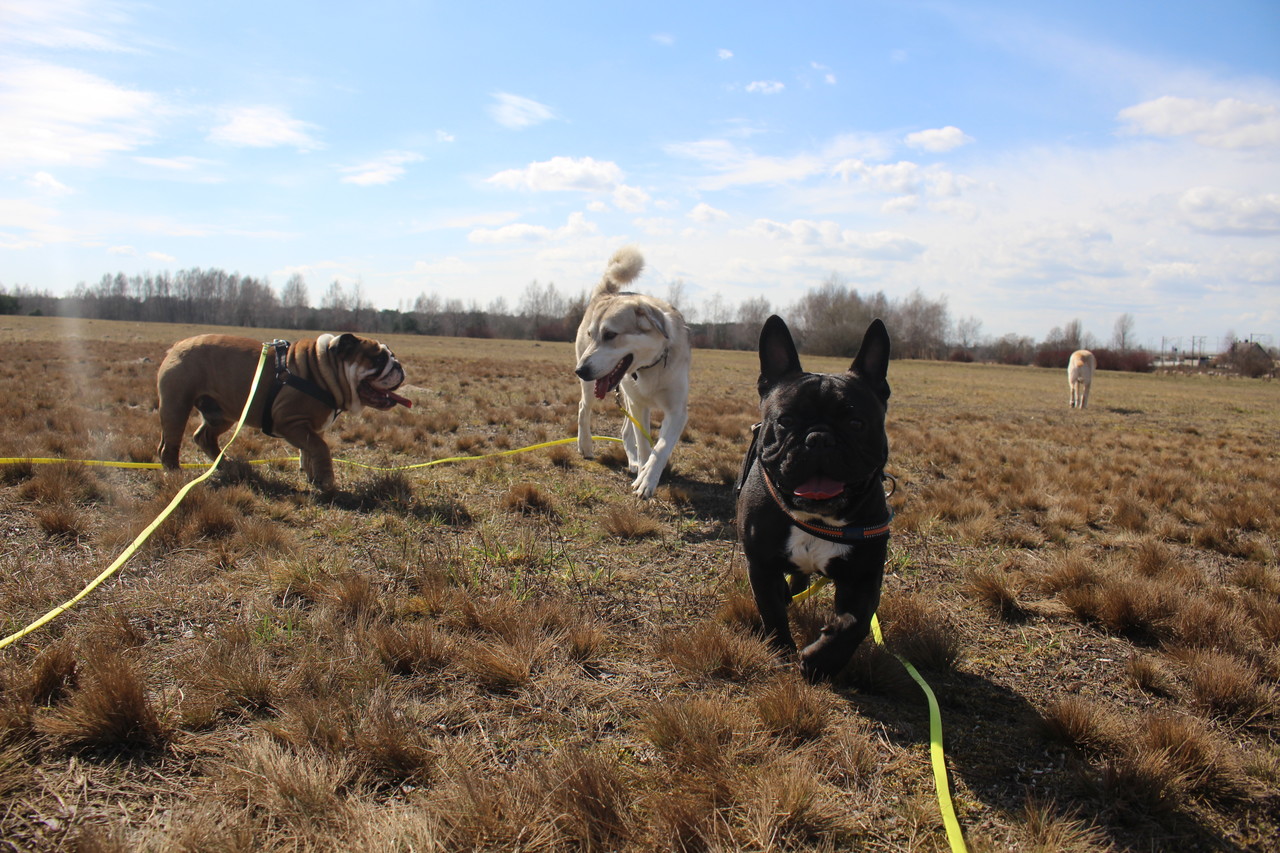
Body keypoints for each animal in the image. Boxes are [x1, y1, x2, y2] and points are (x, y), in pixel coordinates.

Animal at [157, 333, 409, 491]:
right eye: (379, 359)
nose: (398, 366)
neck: (323, 370)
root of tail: (178, 344)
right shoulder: (289, 421)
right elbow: (320, 447)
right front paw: (326, 481)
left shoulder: (310, 428)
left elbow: (309, 449)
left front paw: (313, 477)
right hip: (176, 406)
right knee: (169, 447)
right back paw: (176, 474)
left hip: (221, 414)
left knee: (203, 437)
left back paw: (227, 464)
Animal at [574, 246, 691, 499]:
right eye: (592, 335)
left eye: (610, 335)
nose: (579, 370)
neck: (651, 367)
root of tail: (608, 293)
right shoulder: (639, 405)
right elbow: (646, 444)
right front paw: (644, 475)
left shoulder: (677, 411)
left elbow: (662, 446)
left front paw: (647, 477)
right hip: (594, 390)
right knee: (583, 410)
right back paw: (585, 445)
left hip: (625, 397)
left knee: (625, 430)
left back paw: (634, 462)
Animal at [736, 315, 892, 681]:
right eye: (786, 420)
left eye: (856, 423)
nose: (819, 438)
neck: (816, 518)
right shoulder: (760, 565)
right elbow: (772, 612)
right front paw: (781, 650)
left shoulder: (864, 576)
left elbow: (855, 623)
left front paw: (821, 661)